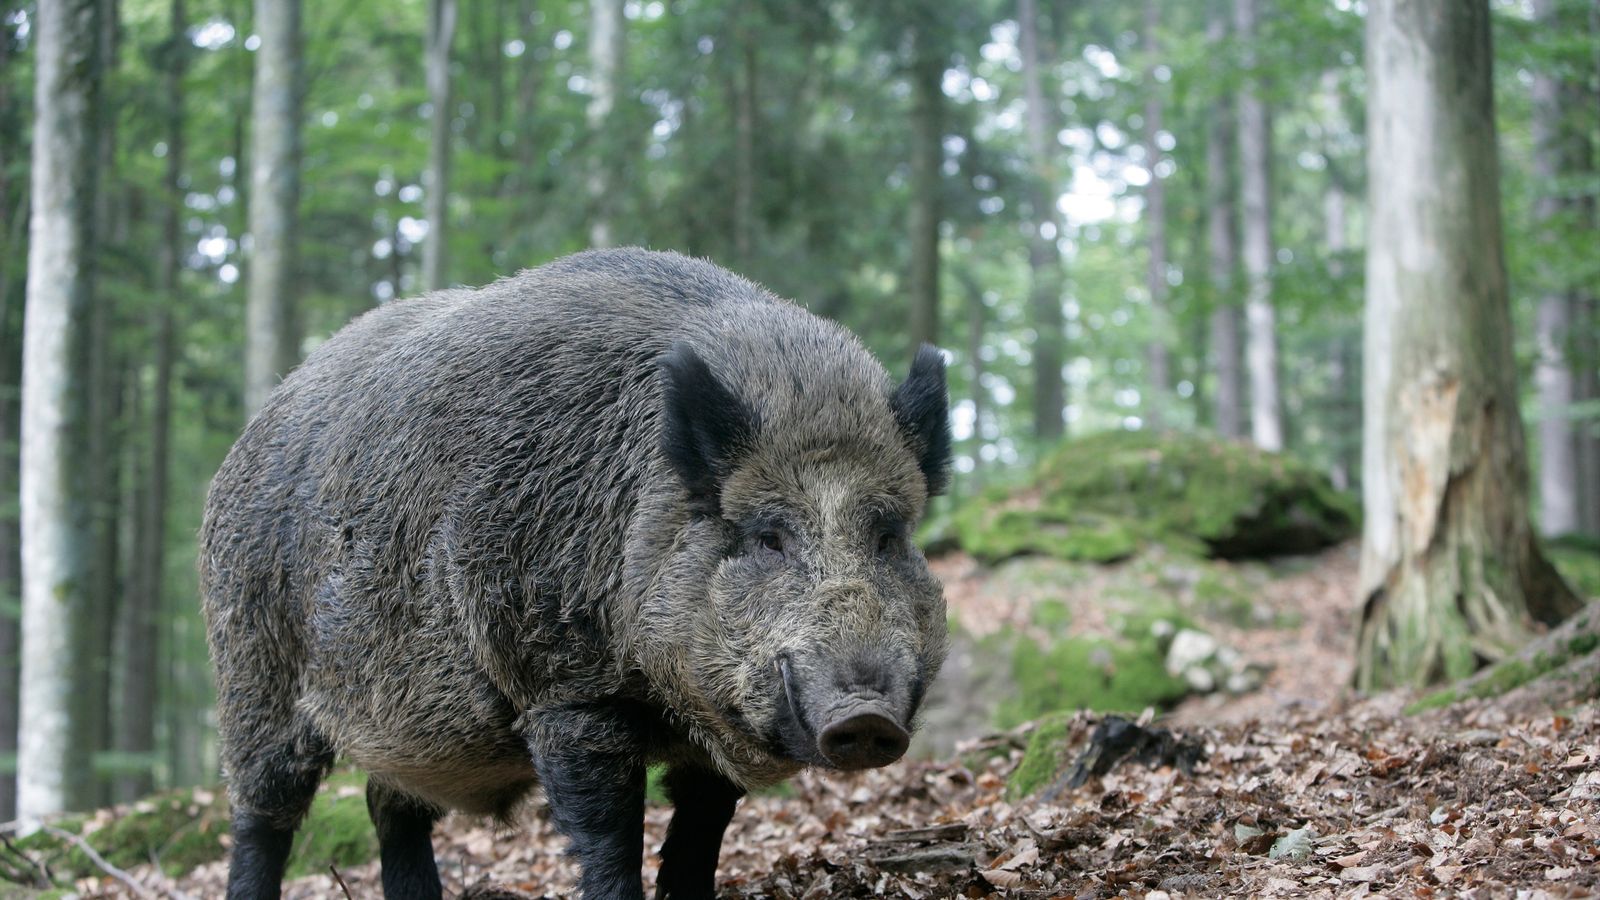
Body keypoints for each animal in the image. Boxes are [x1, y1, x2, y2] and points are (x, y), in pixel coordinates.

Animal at [201, 248, 951, 900]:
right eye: (767, 536)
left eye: (888, 535)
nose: (865, 715)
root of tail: (248, 435)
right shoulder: (564, 685)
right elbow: (608, 831)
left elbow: (699, 834)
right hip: (252, 666)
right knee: (263, 813)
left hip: (408, 729)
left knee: (389, 804)